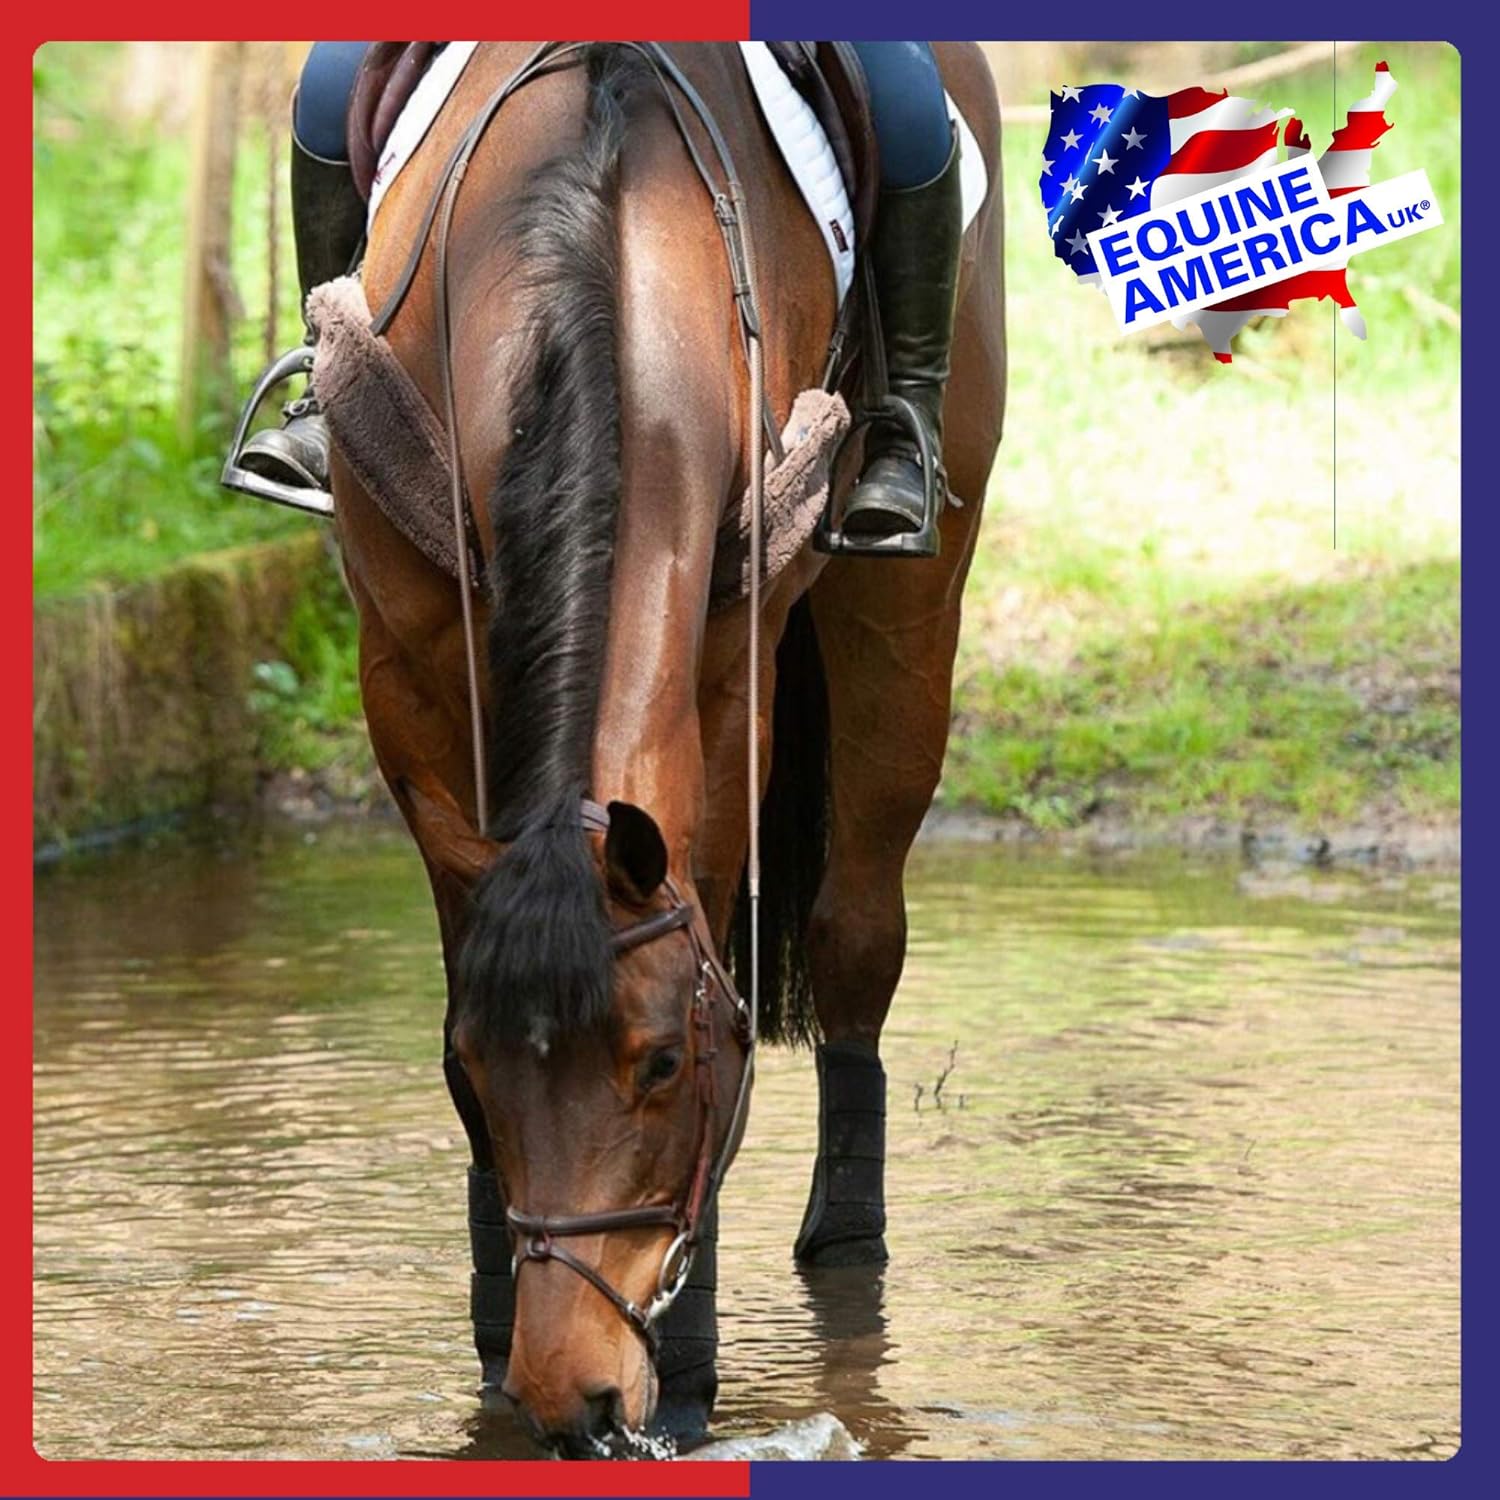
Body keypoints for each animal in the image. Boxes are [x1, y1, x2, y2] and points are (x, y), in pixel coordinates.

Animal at [329, 40, 1006, 1455]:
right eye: (470, 1070)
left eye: (663, 1062)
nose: (574, 1394)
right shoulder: (404, 661)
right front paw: (496, 1336)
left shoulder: (732, 657)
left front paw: (688, 1368)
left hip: (911, 604)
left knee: (859, 931)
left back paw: (845, 1240)